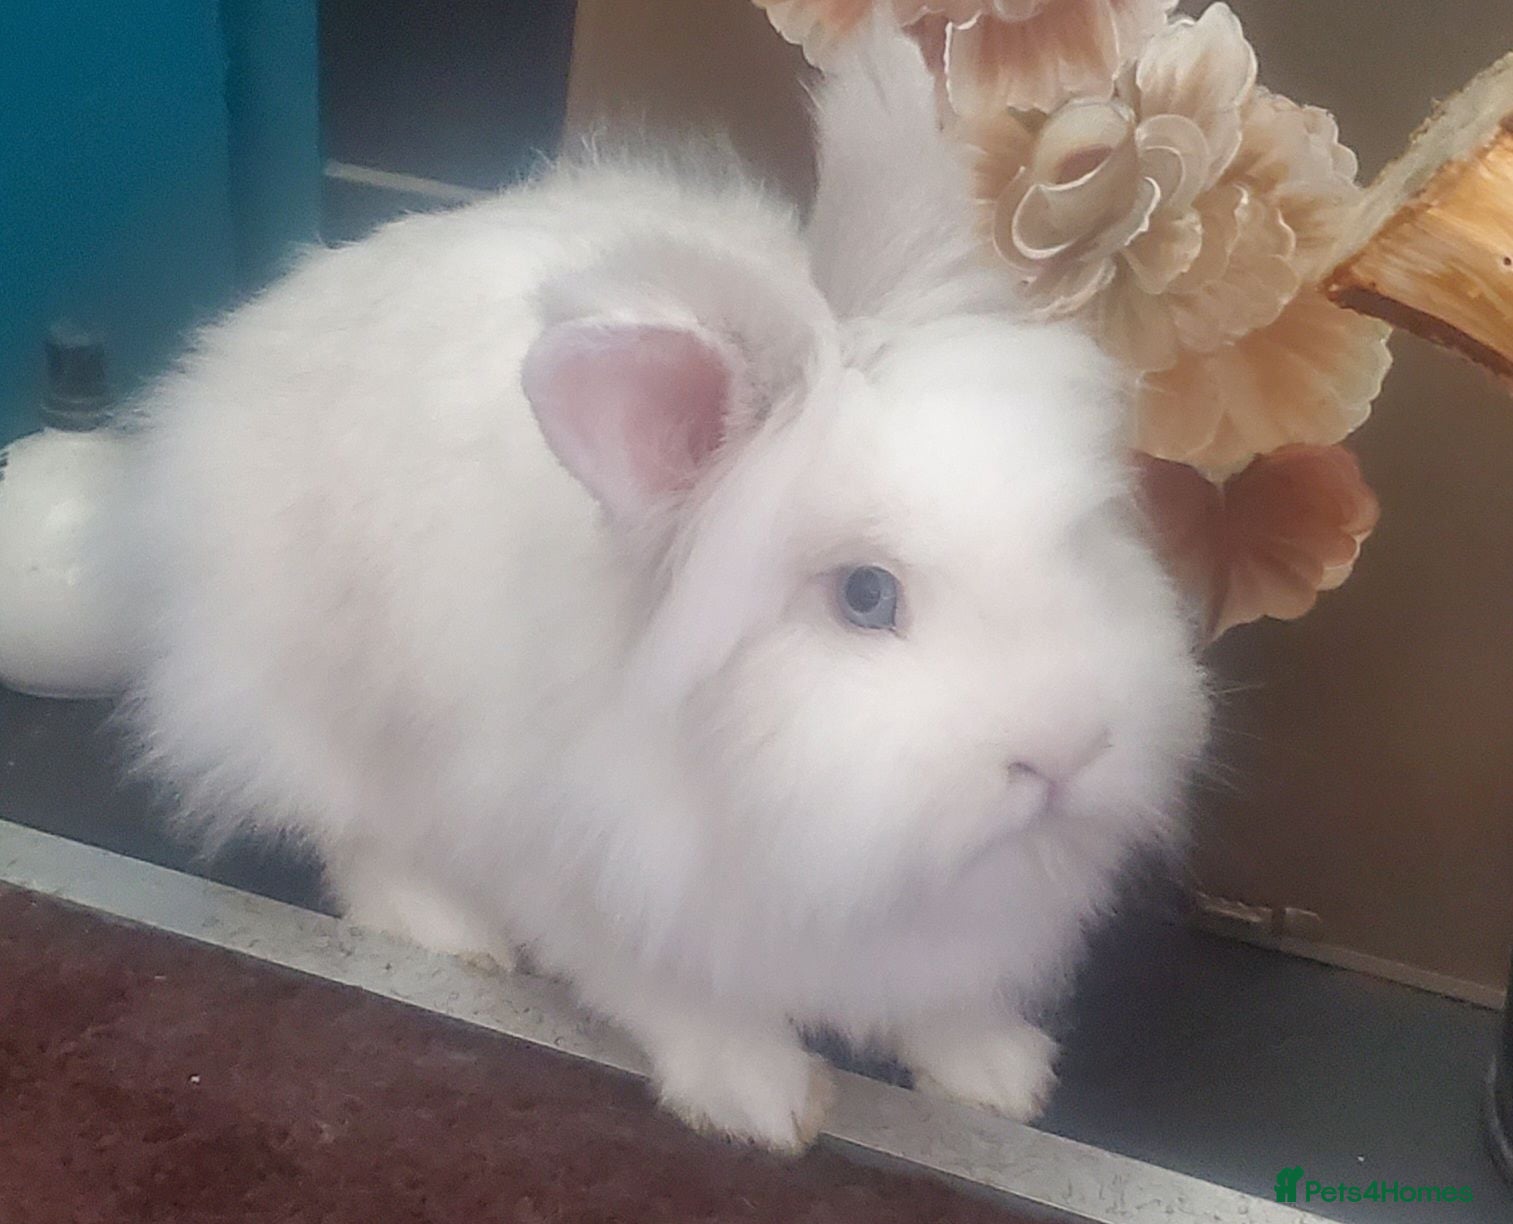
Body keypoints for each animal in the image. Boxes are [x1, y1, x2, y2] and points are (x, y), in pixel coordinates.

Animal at [114, 21, 1208, 1152]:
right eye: (864, 596)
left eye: (1075, 536)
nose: (1070, 750)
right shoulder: (580, 868)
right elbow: (670, 992)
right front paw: (761, 1098)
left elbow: (945, 1001)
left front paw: (998, 1074)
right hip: (311, 705)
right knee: (354, 831)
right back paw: (448, 932)